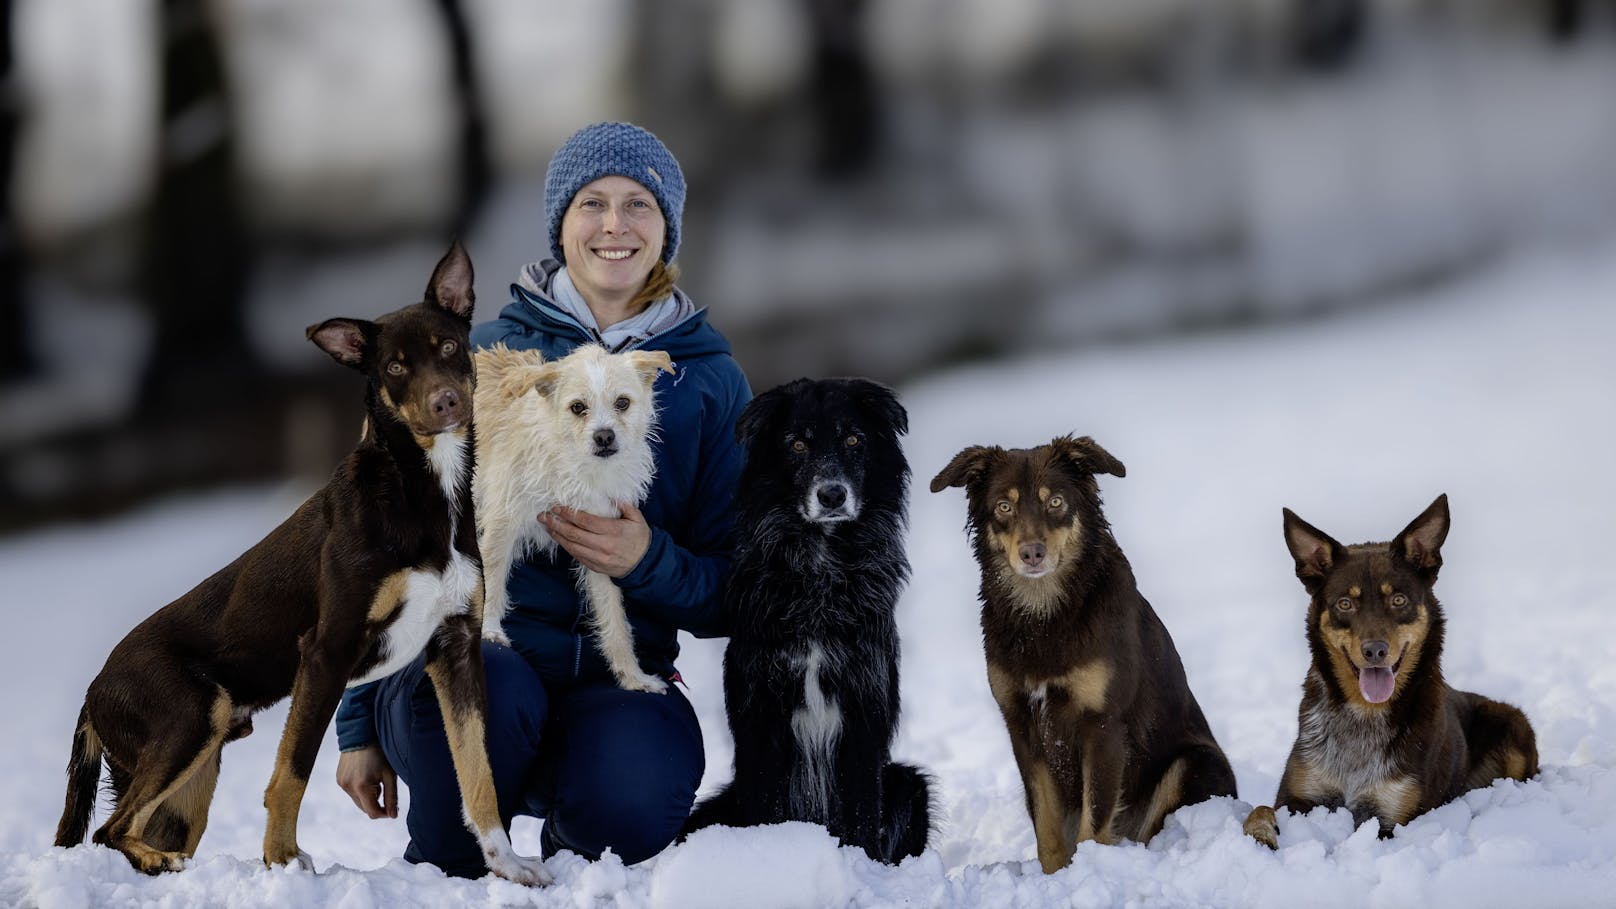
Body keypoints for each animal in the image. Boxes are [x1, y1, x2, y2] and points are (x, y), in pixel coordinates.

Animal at [471, 342, 672, 689]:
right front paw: (490, 631)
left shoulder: (603, 545)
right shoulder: (503, 522)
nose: (604, 436)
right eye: (578, 407)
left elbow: (613, 615)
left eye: (622, 403)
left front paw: (632, 676)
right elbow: (492, 577)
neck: (571, 460)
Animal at [685, 378, 937, 860]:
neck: (820, 570)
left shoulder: (863, 712)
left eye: (854, 440)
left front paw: (859, 865)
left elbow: (860, 812)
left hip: (908, 785)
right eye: (797, 444)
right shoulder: (761, 716)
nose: (832, 495)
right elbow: (765, 805)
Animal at [930, 433, 1228, 873]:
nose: (1032, 553)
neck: (1045, 616)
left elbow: (1094, 821)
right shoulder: (1023, 727)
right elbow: (1048, 829)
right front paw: (1053, 876)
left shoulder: (1102, 724)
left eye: (1055, 501)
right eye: (1004, 506)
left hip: (1196, 761)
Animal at [1247, 494, 1538, 841]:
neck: (1363, 716)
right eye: (1345, 603)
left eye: (1398, 599)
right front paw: (1261, 836)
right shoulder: (1297, 794)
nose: (1375, 650)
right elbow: (1258, 811)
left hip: (1513, 723)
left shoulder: (1393, 817)